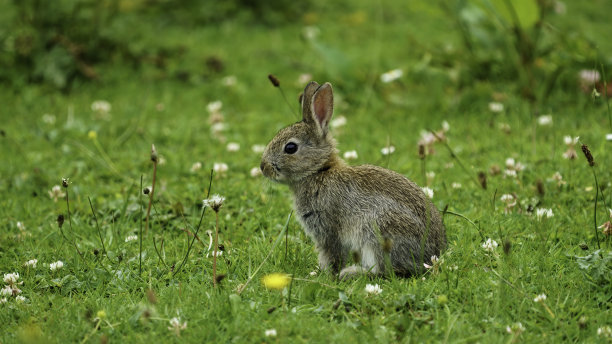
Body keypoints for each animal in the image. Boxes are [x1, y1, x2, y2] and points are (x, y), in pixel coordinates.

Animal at [260, 81, 448, 280]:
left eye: (290, 148)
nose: (263, 167)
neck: (318, 171)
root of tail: (431, 258)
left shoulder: (328, 230)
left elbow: (331, 254)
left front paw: (326, 275)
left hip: (378, 232)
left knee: (385, 270)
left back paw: (351, 273)